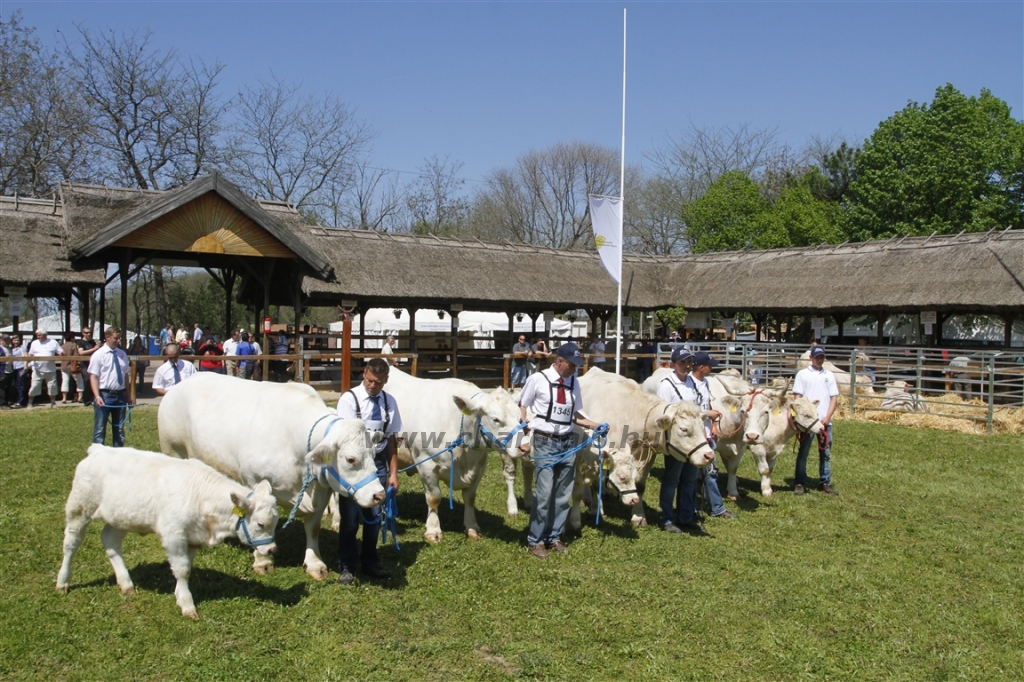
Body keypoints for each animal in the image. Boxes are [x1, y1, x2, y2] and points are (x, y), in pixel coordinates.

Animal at [155, 372, 385, 577]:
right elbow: (256, 516)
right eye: (350, 459)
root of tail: (180, 385)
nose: (379, 495)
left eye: (374, 454)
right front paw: (262, 560)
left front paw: (314, 563)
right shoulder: (254, 481)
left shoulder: (323, 489)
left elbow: (313, 527)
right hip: (172, 449)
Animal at [385, 366, 528, 540]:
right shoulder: (426, 463)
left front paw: (472, 527)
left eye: (519, 418)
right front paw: (433, 530)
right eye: (495, 419)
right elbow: (434, 498)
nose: (525, 447)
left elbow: (470, 497)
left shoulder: (480, 466)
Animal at [577, 366, 712, 524]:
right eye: (683, 429)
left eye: (702, 427)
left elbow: (640, 485)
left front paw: (639, 516)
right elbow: (595, 482)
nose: (709, 455)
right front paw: (596, 510)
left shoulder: (647, 456)